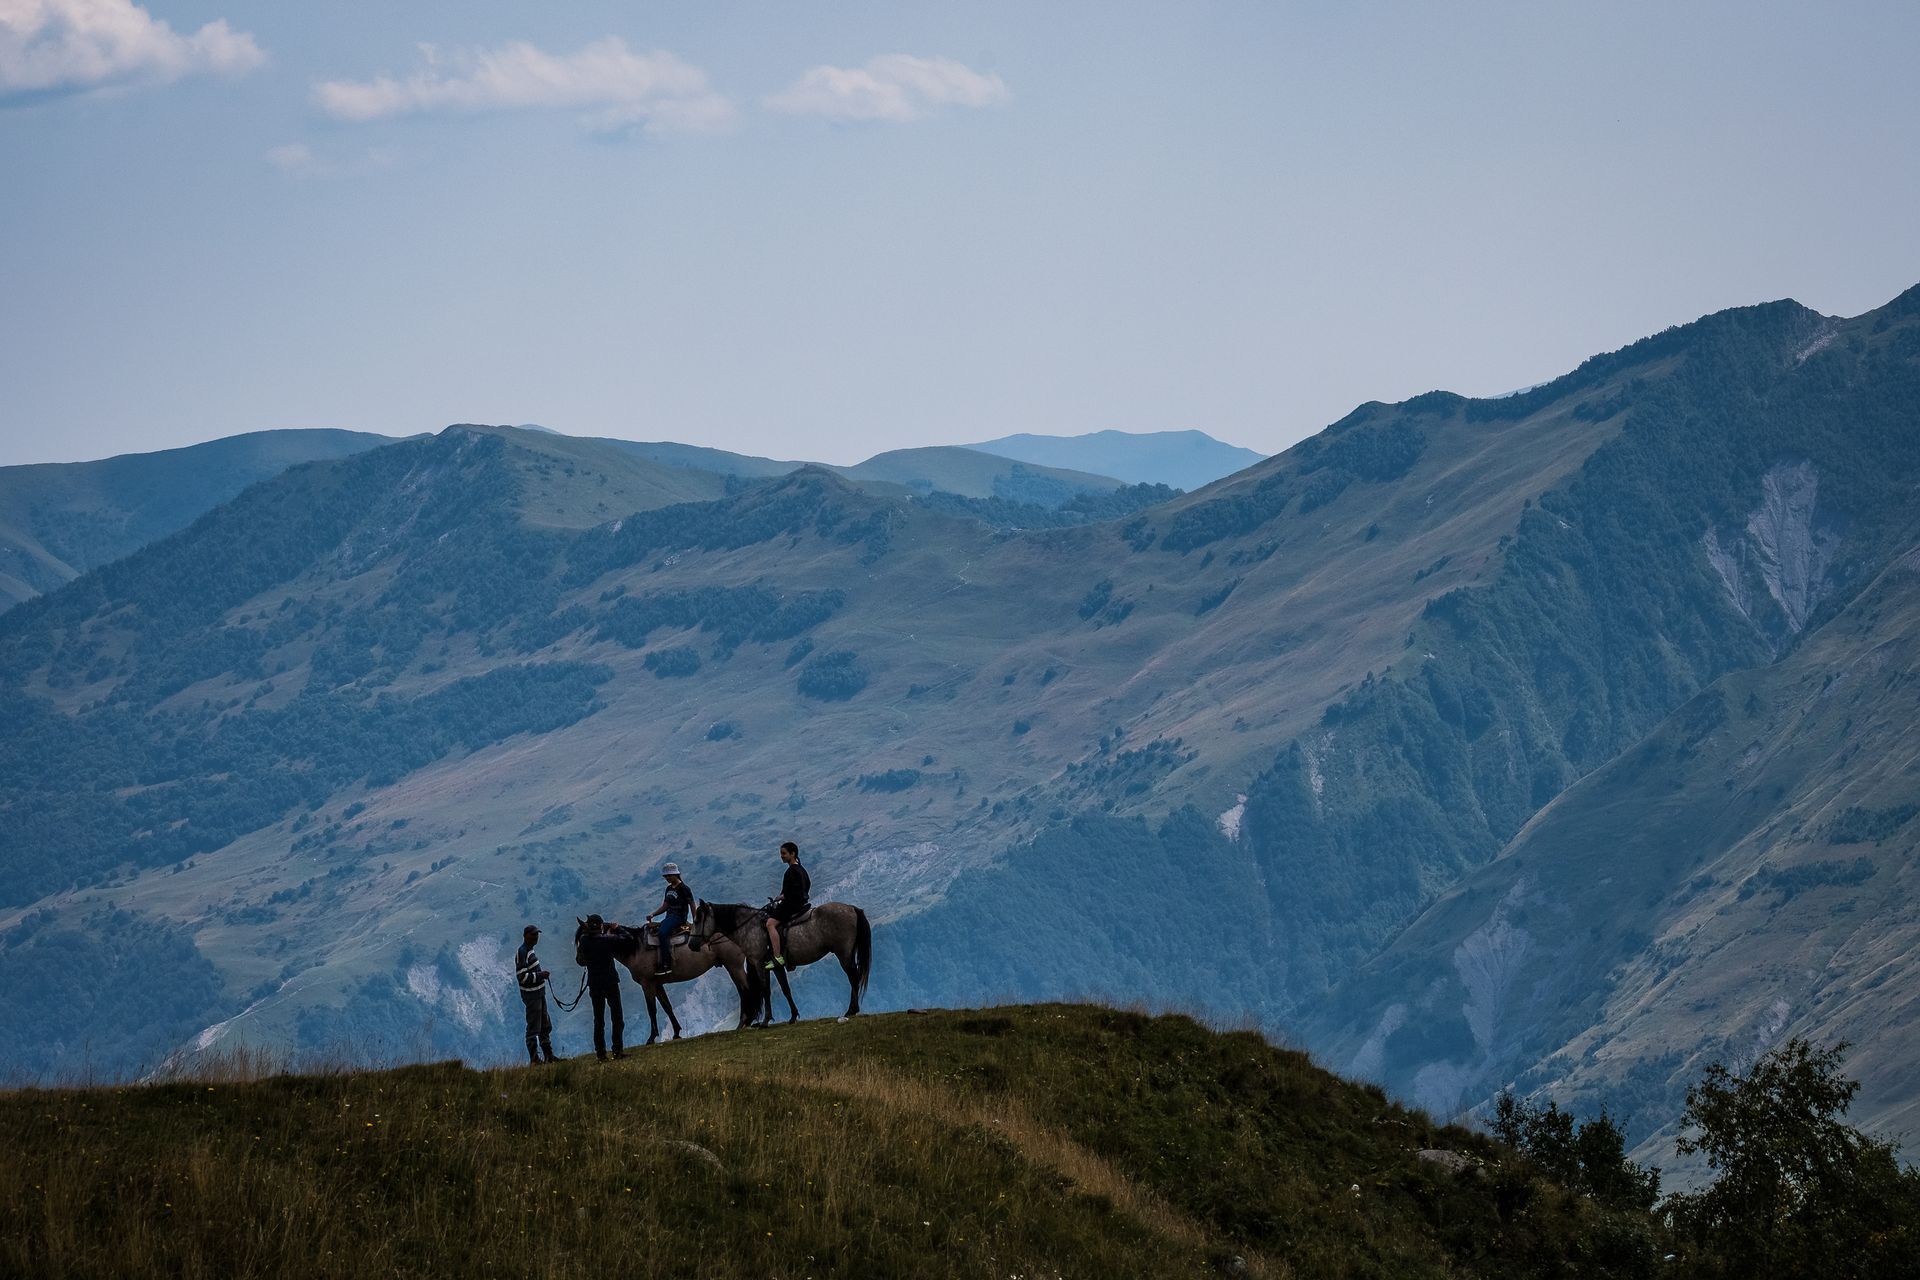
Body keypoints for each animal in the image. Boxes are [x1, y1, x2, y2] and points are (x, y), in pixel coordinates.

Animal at [568, 917, 756, 1043]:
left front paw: (651, 1038)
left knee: (746, 989)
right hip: (731, 966)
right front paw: (676, 1033)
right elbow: (667, 1007)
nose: (579, 960)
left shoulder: (647, 984)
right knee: (743, 989)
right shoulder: (657, 984)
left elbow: (652, 1009)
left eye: (582, 938)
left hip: (734, 965)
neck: (634, 947)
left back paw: (745, 1022)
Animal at [687, 901, 875, 1028]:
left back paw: (851, 1010)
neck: (750, 927)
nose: (691, 945)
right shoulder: (775, 967)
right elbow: (785, 989)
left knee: (853, 977)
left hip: (843, 954)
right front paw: (793, 1016)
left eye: (697, 920)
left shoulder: (759, 964)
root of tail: (851, 908)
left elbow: (765, 990)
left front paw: (765, 1021)